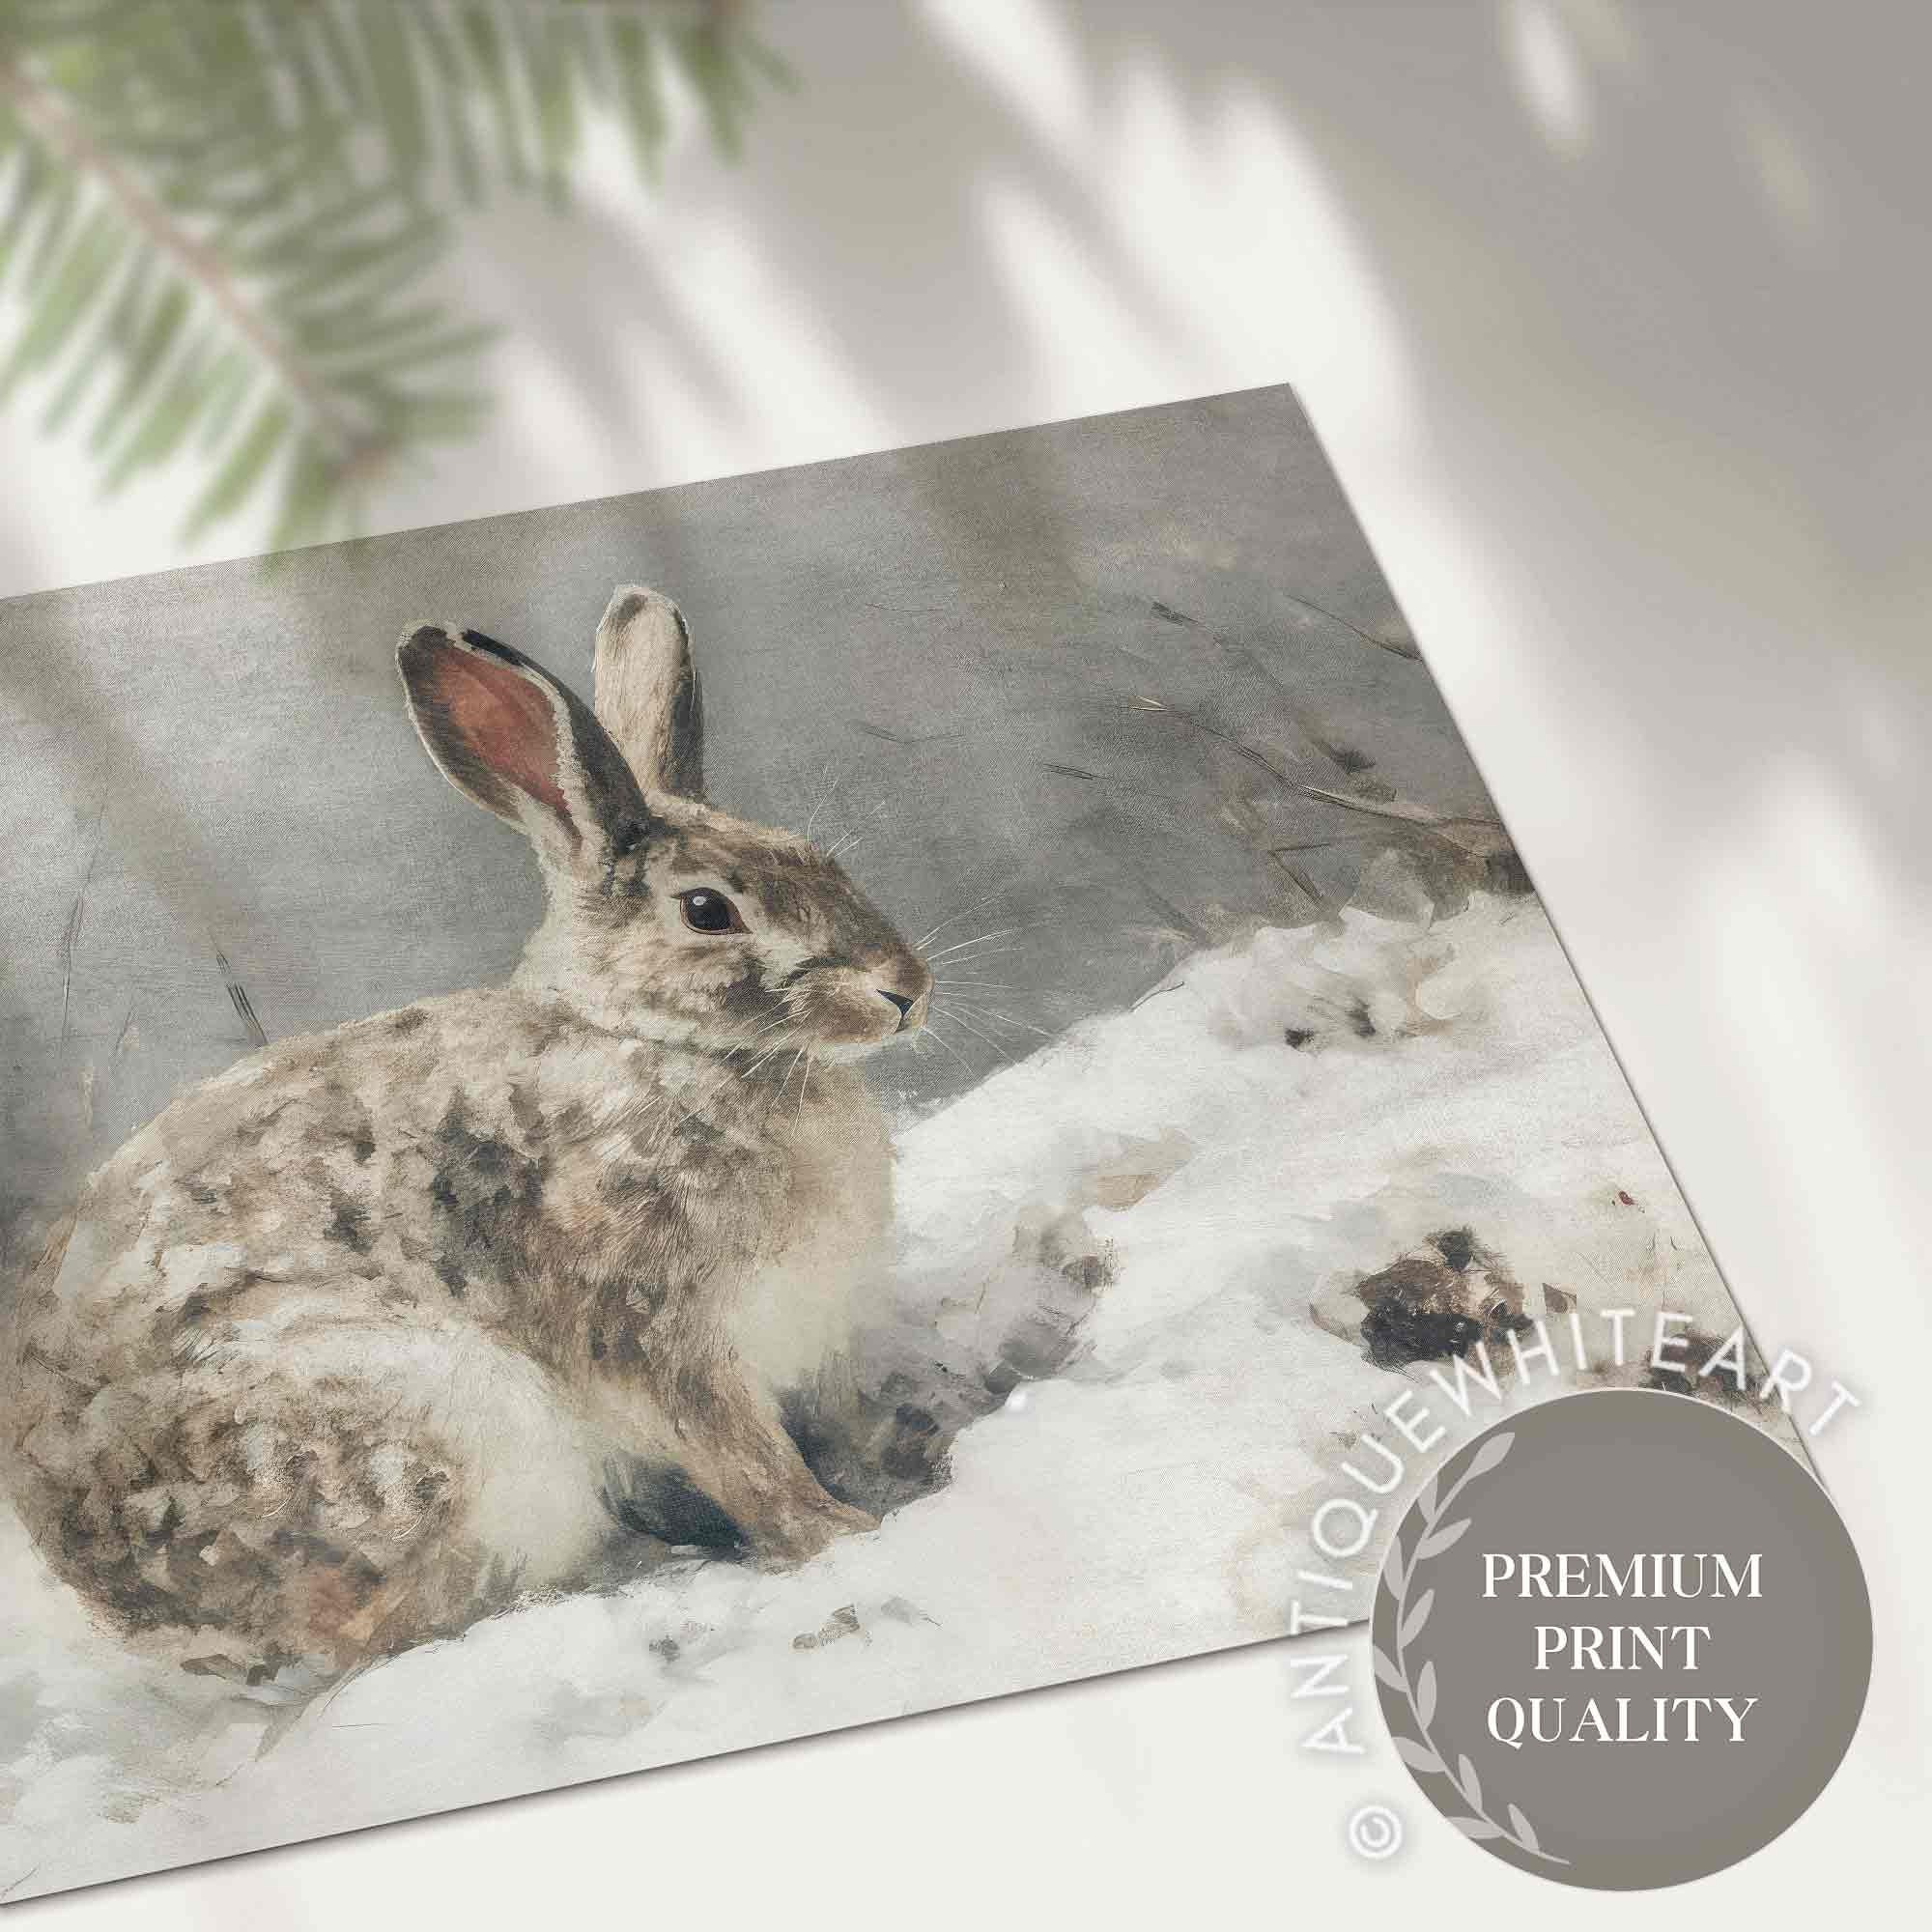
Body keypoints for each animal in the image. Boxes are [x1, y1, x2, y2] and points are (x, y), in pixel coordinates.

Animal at [4, 586, 933, 1682]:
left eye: (817, 858)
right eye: (708, 910)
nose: (906, 990)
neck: (658, 1042)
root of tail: (145, 1619)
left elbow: (831, 1419)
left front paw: (897, 1453)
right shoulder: (654, 1334)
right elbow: (742, 1456)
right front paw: (837, 1532)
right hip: (439, 1430)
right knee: (404, 1620)